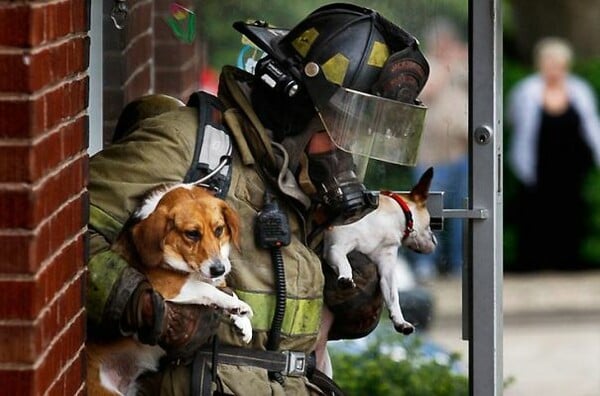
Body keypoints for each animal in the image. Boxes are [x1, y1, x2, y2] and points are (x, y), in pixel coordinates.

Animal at [86, 184, 251, 394]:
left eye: (219, 230)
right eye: (192, 233)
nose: (219, 269)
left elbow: (223, 288)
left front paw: (241, 319)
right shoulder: (170, 286)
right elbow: (207, 289)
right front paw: (238, 306)